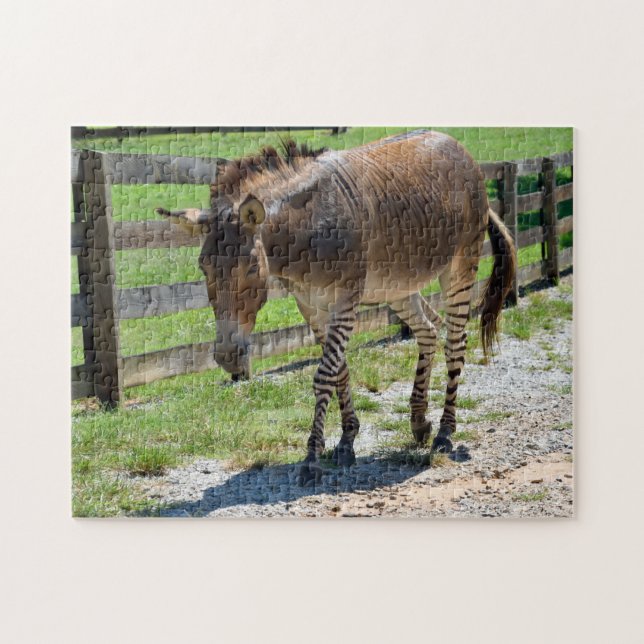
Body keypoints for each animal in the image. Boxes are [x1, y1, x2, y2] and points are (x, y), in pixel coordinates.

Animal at [158, 130, 516, 485]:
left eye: (250, 269)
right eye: (203, 268)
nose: (228, 358)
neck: (308, 230)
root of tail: (452, 141)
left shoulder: (345, 301)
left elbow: (325, 374)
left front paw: (312, 458)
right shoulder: (310, 306)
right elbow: (340, 370)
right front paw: (346, 440)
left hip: (460, 266)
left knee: (456, 343)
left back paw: (444, 432)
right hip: (397, 285)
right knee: (428, 330)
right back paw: (418, 421)